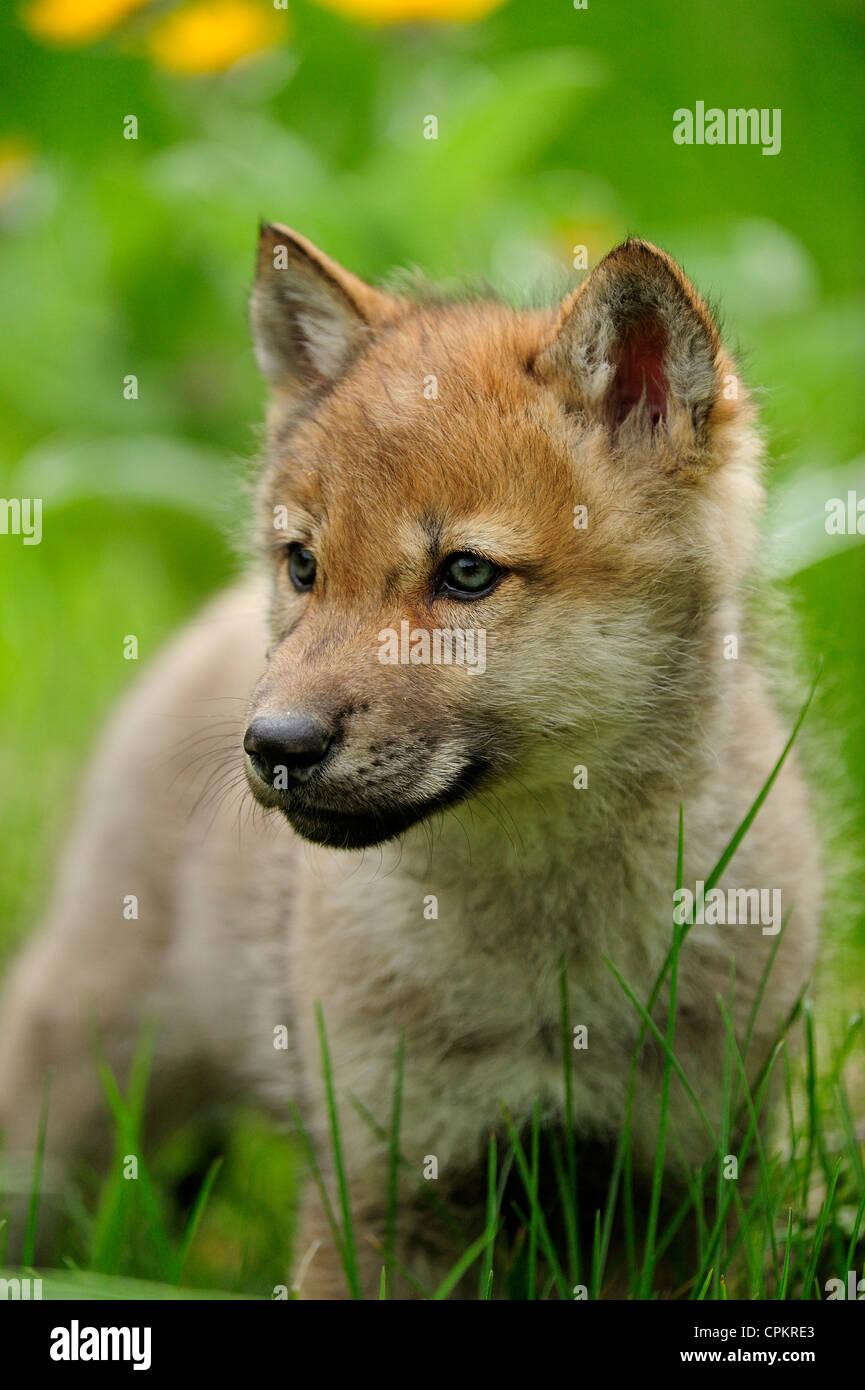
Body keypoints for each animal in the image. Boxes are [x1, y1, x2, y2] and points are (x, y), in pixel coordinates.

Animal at [0, 228, 820, 1297]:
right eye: (304, 566)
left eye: (465, 574)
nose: (275, 745)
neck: (546, 958)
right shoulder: (382, 1189)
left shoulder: (683, 1185)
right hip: (78, 1065)